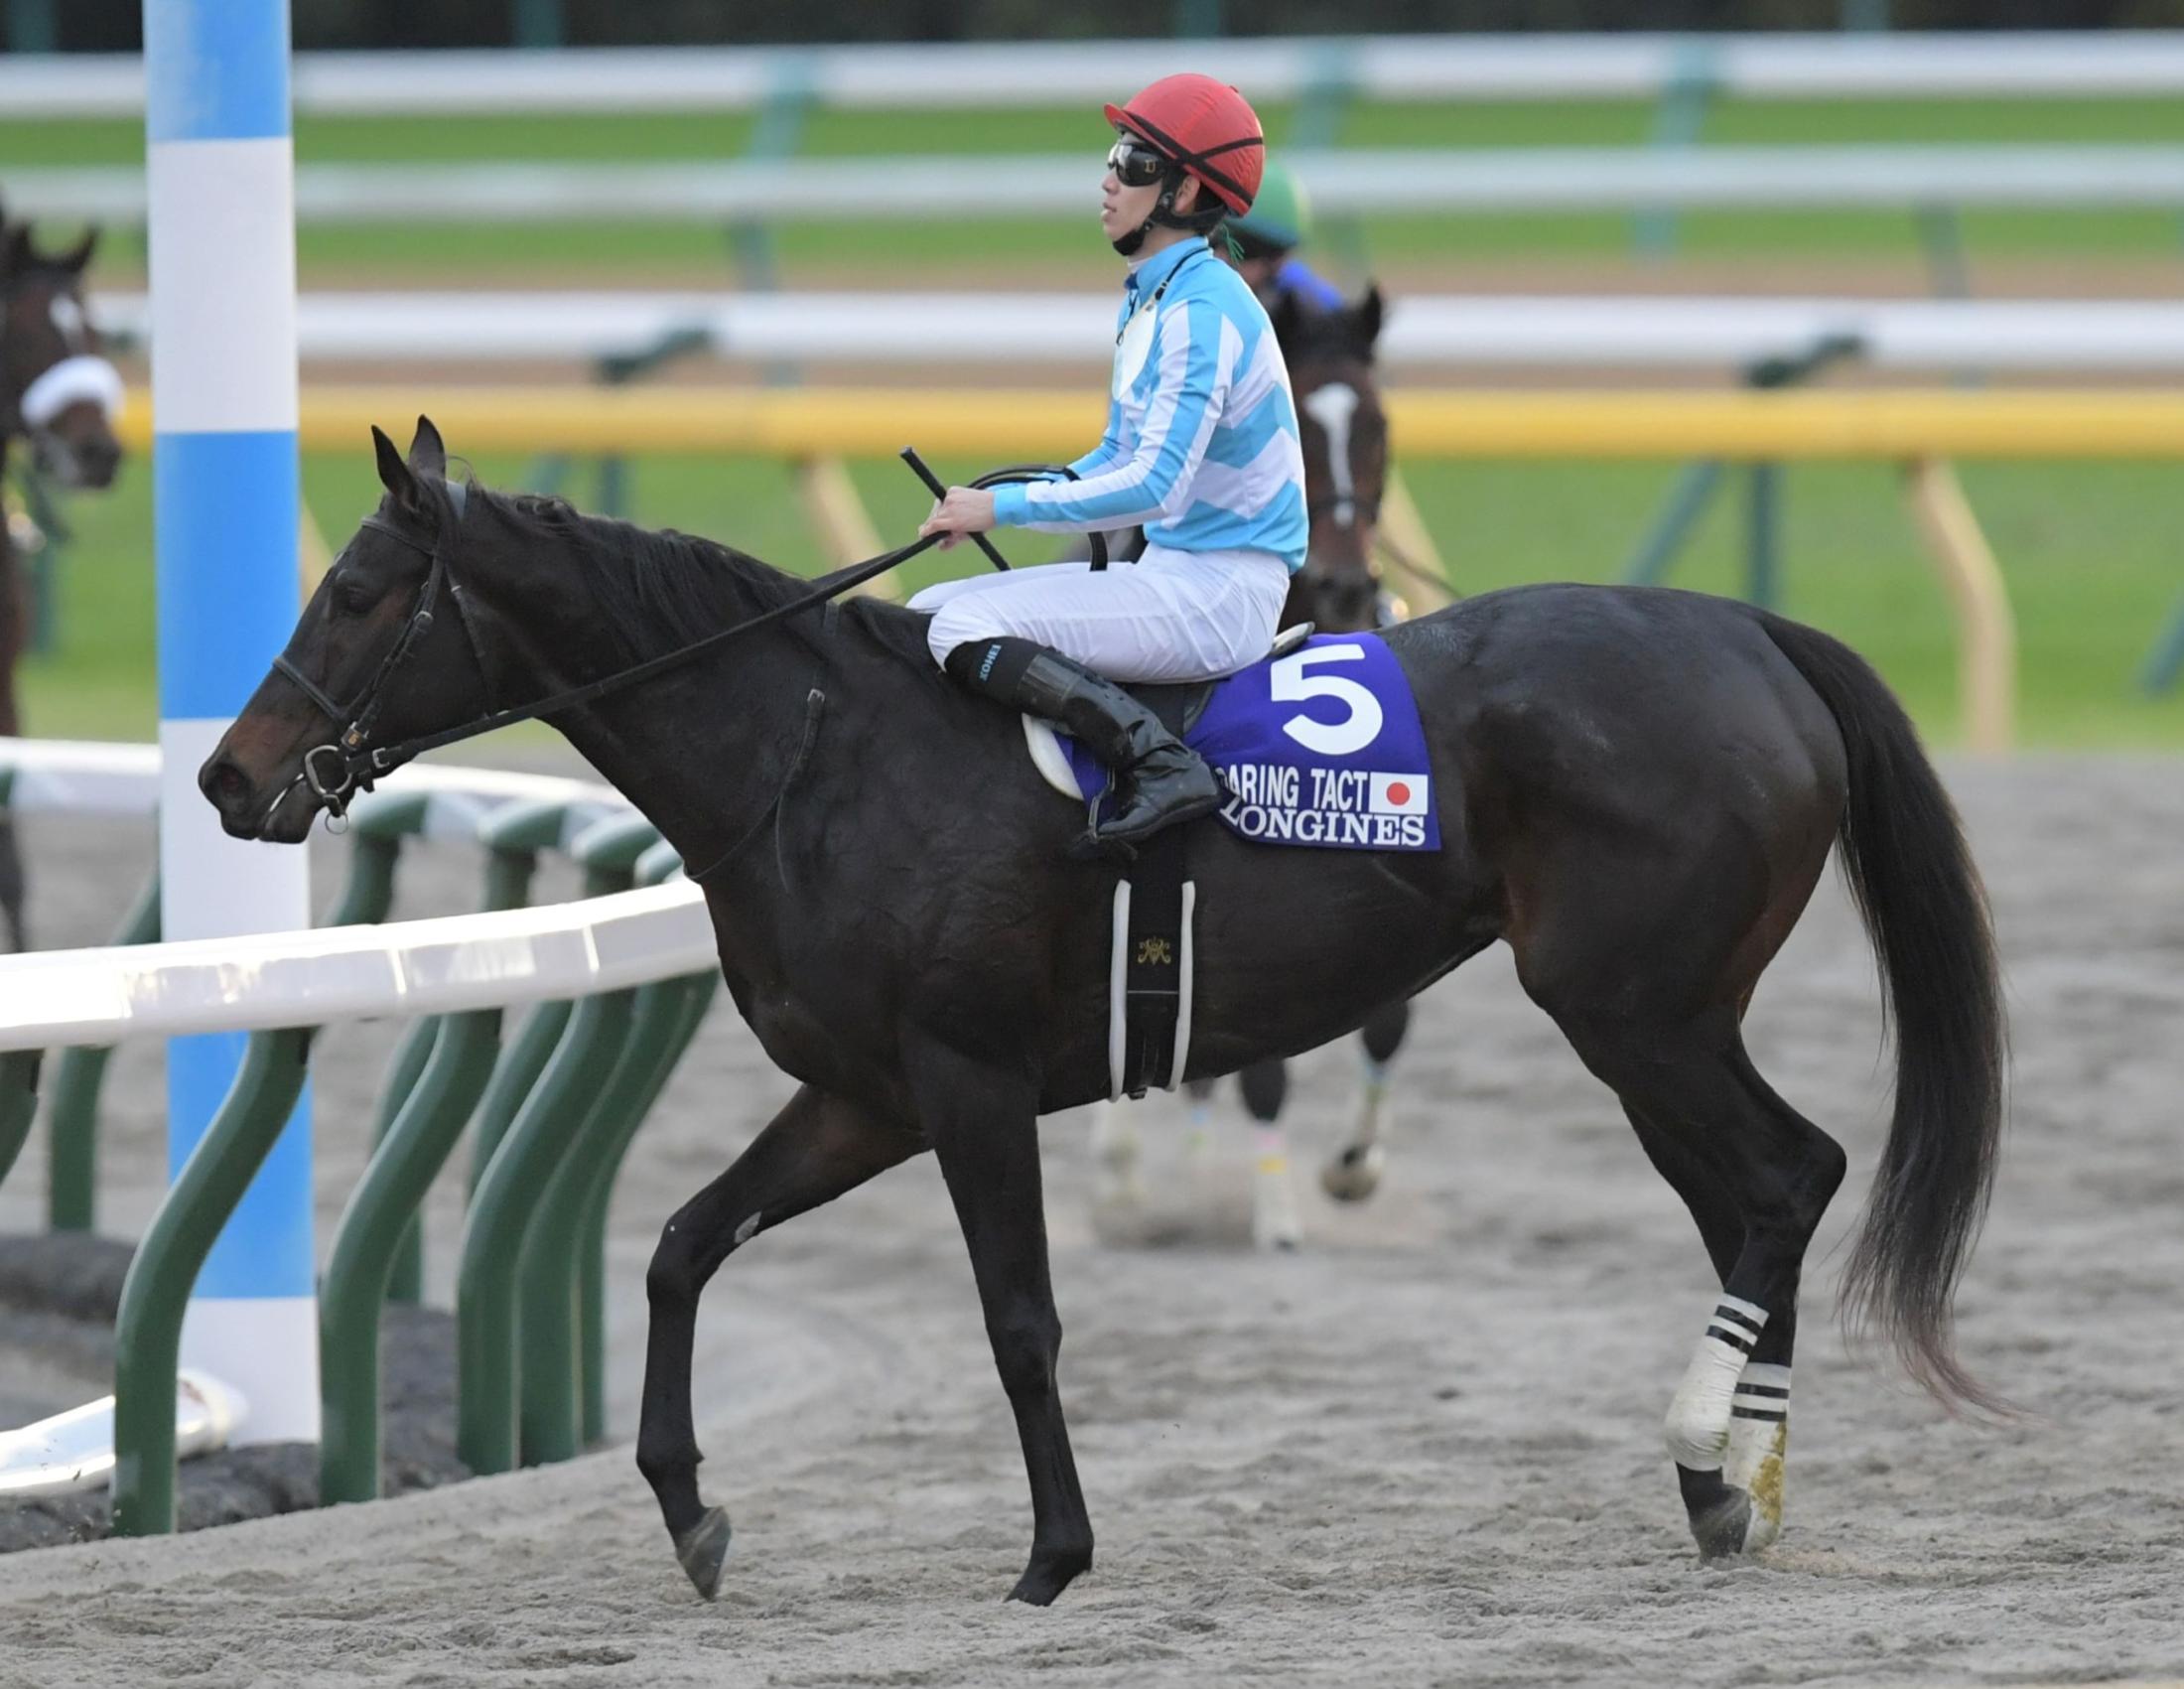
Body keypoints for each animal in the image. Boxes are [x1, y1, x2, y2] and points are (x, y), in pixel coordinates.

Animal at [201, 421, 2000, 1608]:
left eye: (356, 589)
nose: (226, 777)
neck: (816, 753)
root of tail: (1751, 633)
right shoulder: (863, 1094)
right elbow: (678, 1247)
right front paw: (691, 1513)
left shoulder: (968, 1081)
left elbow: (1021, 1320)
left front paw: (1053, 1558)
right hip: (1656, 1024)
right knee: (1751, 1203)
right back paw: (1732, 1483)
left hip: (1638, 1011)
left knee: (1788, 1177)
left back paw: (1714, 1451)